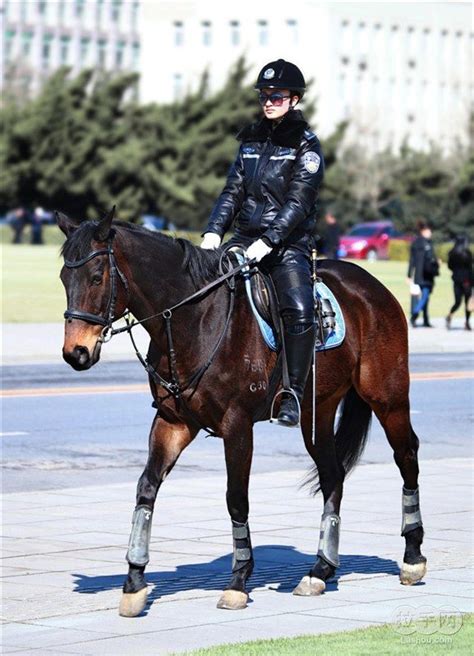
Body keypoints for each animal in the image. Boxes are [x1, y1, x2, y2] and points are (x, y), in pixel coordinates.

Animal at [57, 211, 428, 620]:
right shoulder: (173, 422)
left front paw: (237, 581)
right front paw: (135, 582)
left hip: (388, 397)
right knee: (333, 475)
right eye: (63, 279)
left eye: (96, 277)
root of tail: (371, 287)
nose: (76, 352)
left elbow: (236, 497)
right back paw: (319, 570)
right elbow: (146, 488)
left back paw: (412, 558)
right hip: (316, 413)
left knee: (407, 456)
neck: (193, 317)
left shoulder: (237, 426)